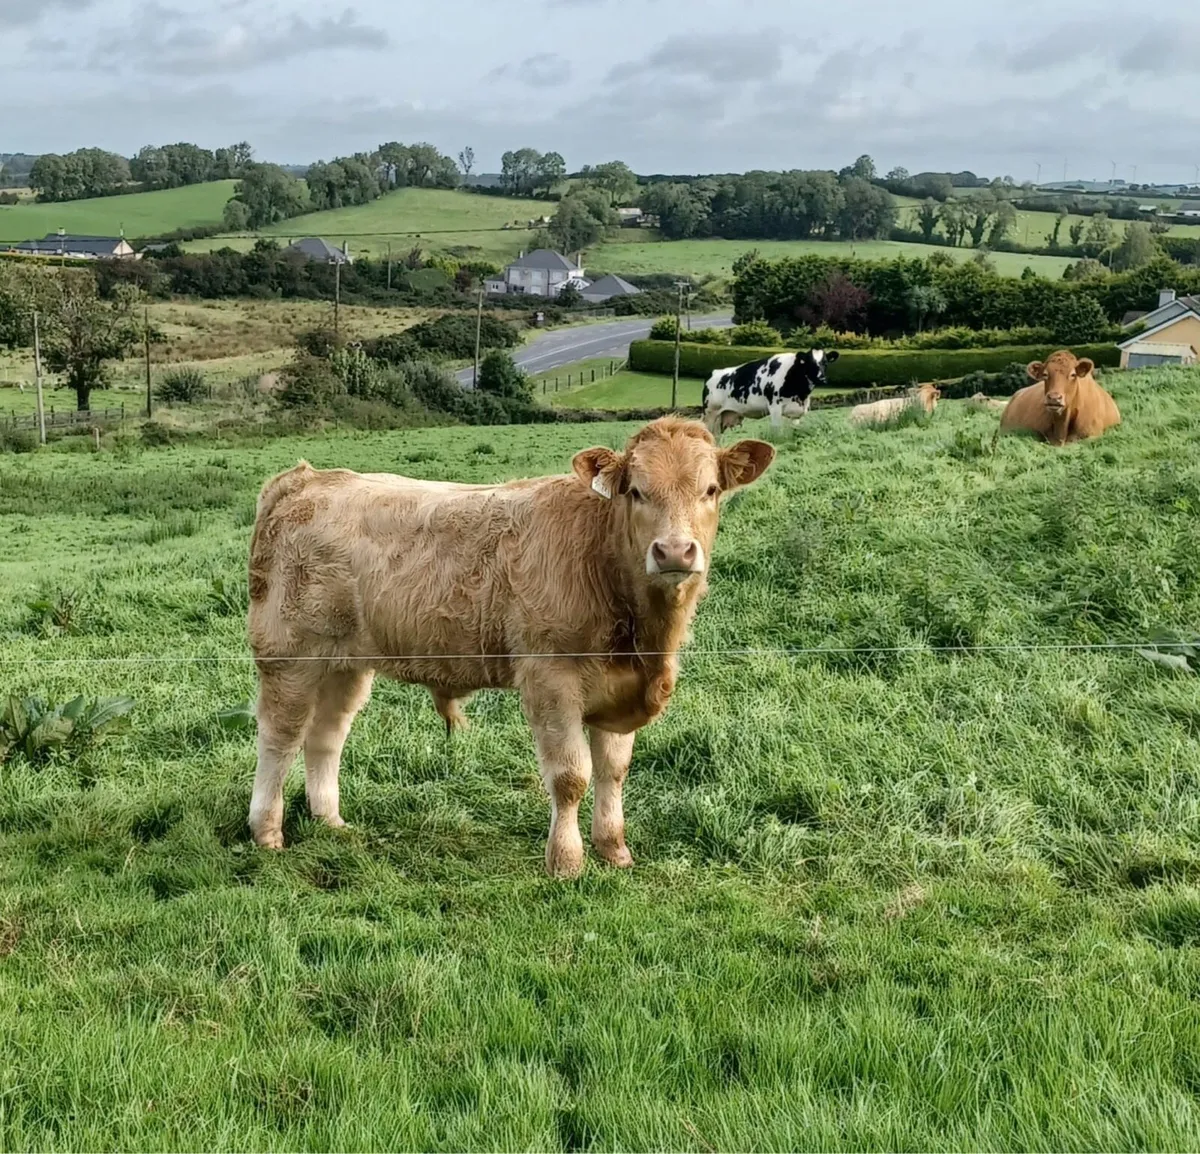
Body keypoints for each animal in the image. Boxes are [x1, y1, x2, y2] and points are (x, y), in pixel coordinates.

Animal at [246, 417, 774, 878]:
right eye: (636, 491)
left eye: (710, 490)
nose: (674, 551)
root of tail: (305, 479)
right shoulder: (550, 677)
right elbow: (571, 776)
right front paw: (566, 863)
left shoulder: (618, 691)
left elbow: (614, 771)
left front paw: (614, 850)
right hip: (290, 657)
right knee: (280, 737)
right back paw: (267, 831)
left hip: (346, 664)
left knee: (326, 735)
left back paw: (330, 820)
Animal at [701, 350, 839, 435]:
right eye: (810, 363)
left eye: (825, 362)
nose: (821, 378)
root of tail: (713, 372)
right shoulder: (775, 407)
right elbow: (777, 431)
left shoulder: (797, 412)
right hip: (710, 414)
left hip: (721, 418)